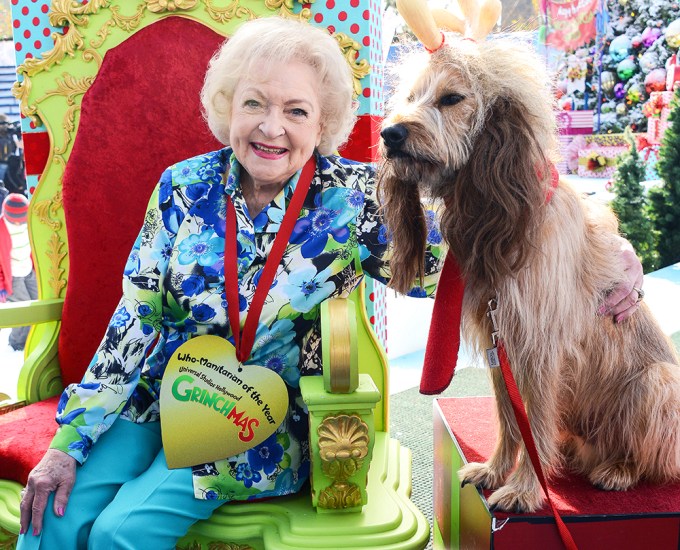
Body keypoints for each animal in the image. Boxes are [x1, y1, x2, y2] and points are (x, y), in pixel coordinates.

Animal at [378, 36, 680, 516]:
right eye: (410, 98)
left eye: (451, 98)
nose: (389, 134)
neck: (506, 217)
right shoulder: (499, 341)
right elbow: (509, 418)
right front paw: (496, 470)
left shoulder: (537, 346)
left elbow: (533, 422)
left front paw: (524, 488)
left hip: (659, 384)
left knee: (650, 456)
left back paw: (619, 469)